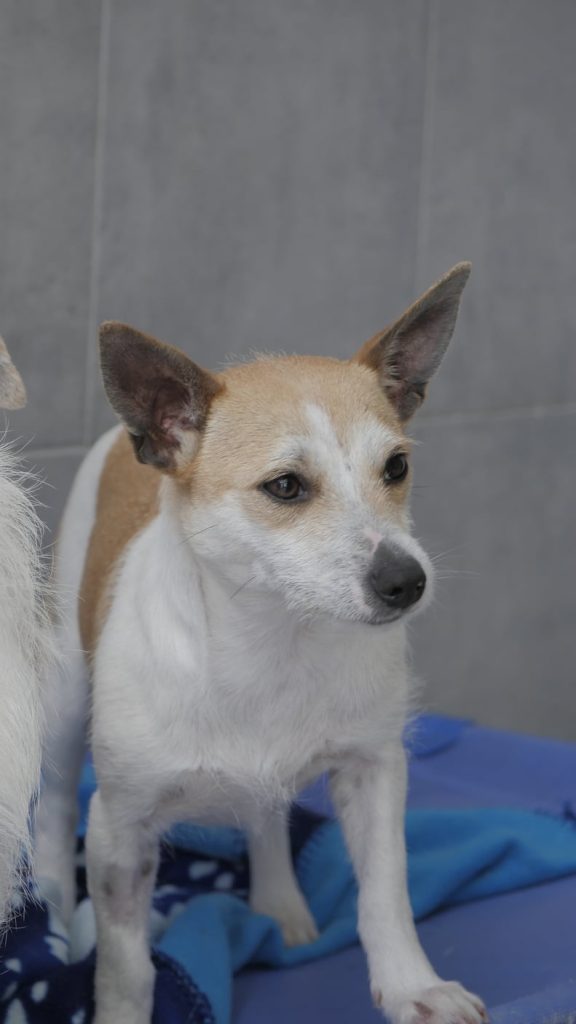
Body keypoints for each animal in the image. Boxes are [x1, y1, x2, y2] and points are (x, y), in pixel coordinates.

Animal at [35, 262, 487, 1024]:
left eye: (396, 467)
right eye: (284, 486)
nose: (407, 580)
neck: (276, 641)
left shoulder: (374, 770)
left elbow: (386, 893)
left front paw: (412, 987)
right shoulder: (120, 832)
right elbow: (127, 966)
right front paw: (114, 1001)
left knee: (266, 816)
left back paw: (279, 904)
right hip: (67, 696)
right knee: (57, 803)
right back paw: (54, 919)